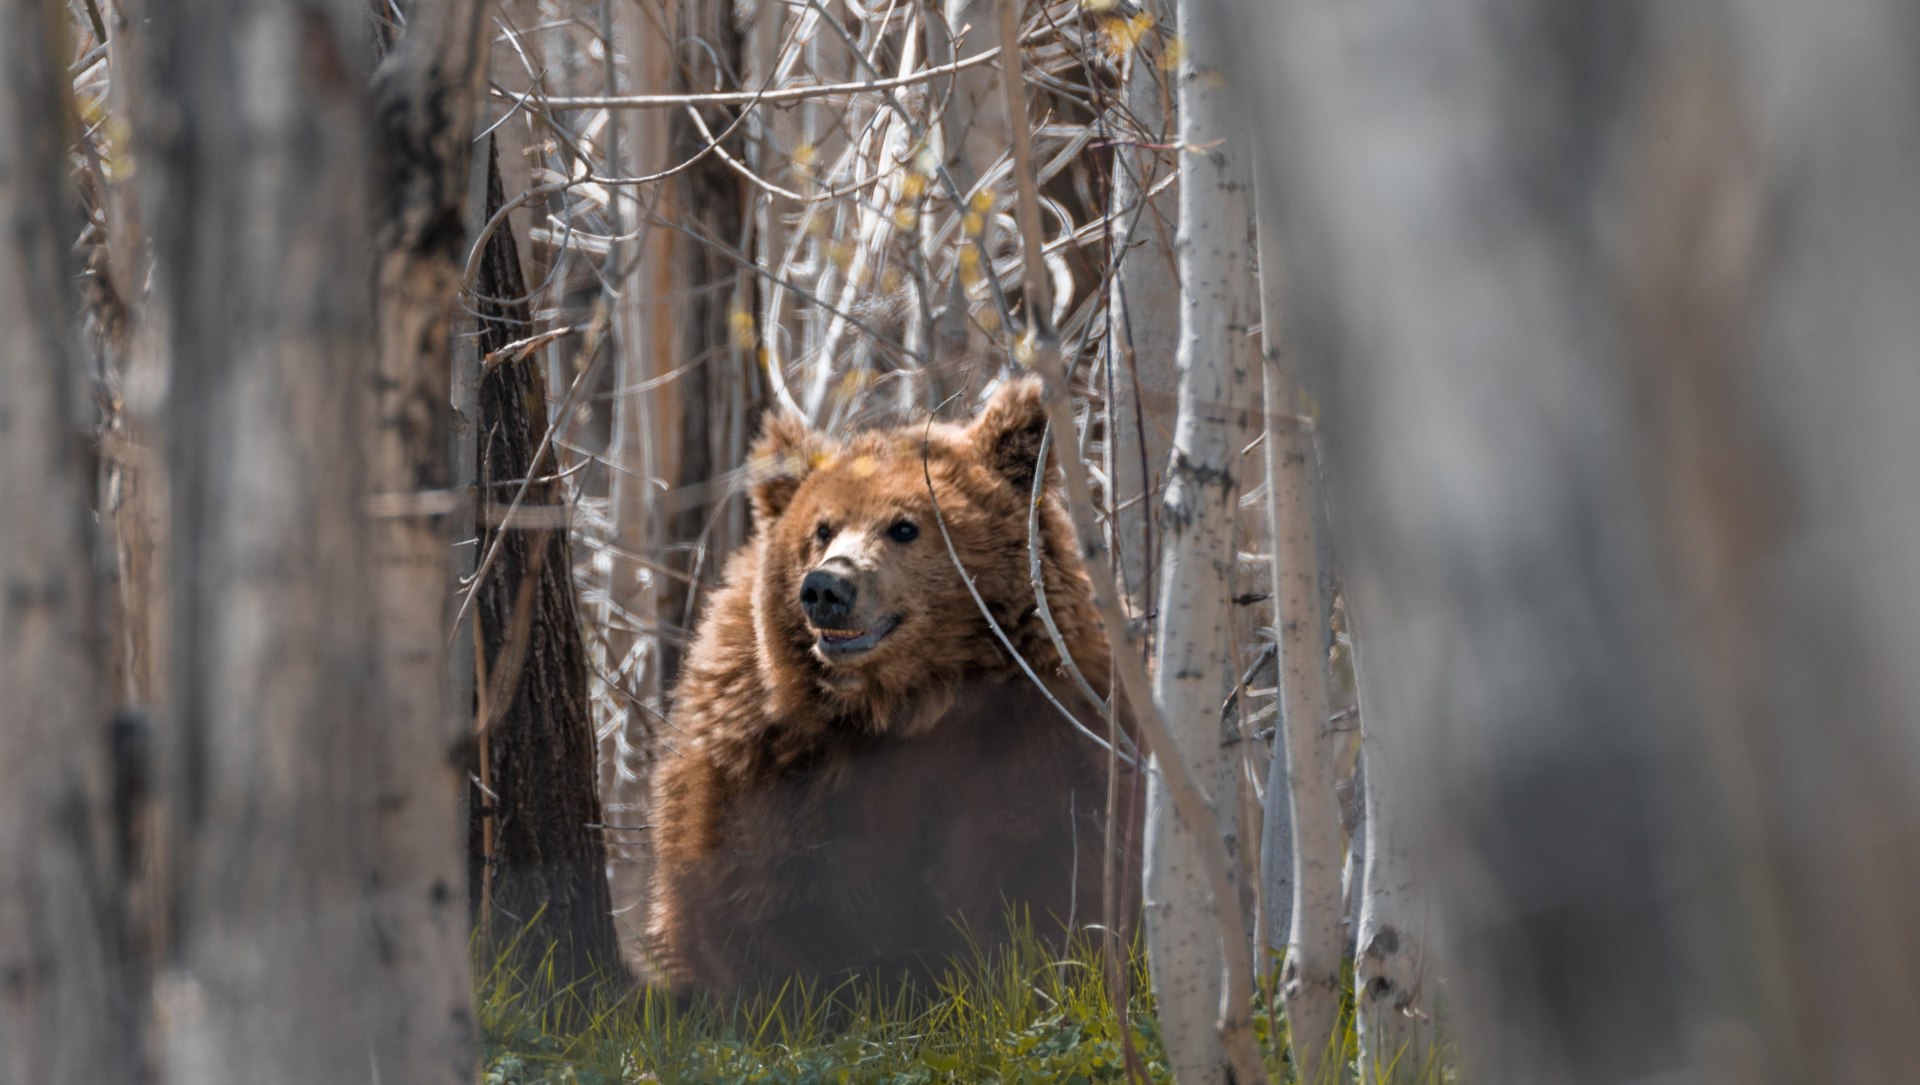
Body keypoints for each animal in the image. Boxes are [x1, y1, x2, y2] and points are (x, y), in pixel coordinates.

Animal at [638, 376, 1137, 999]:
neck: (908, 700)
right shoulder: (770, 758)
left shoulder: (1045, 730)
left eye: (904, 526)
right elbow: (757, 895)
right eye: (822, 528)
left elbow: (1049, 867)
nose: (826, 588)